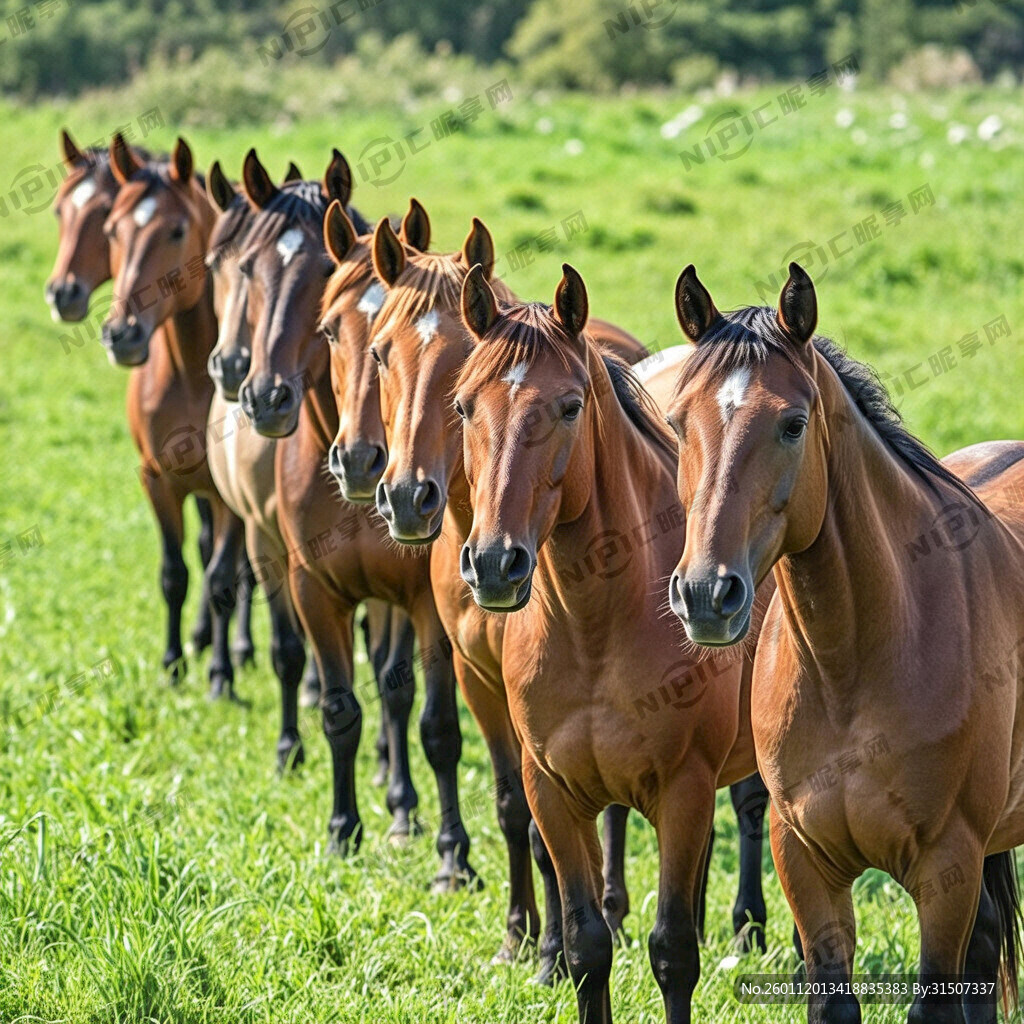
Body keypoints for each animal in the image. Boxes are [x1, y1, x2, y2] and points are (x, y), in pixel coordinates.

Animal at [99, 132, 248, 698]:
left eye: (177, 229)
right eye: (112, 229)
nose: (122, 333)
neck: (190, 375)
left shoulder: (230, 499)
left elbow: (224, 578)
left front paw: (221, 675)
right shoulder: (157, 479)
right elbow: (174, 573)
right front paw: (172, 663)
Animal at [235, 149, 474, 886]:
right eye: (333, 328)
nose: (364, 460)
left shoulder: (424, 602)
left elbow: (434, 725)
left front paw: (451, 853)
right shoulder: (315, 589)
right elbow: (341, 710)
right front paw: (343, 831)